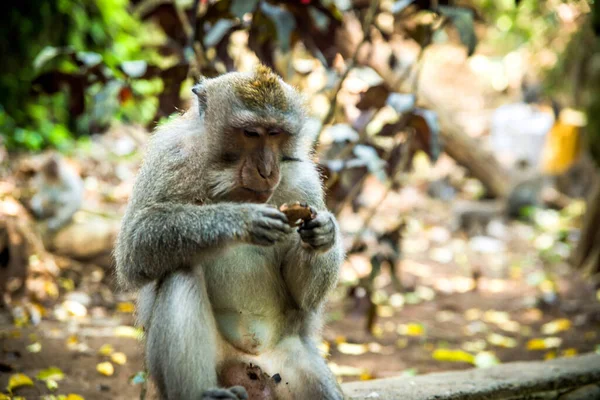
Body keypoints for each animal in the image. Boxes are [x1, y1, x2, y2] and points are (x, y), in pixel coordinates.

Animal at [114, 65, 344, 400]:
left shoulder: (305, 183)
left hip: (290, 361)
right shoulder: (171, 157)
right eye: (250, 133)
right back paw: (203, 394)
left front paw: (324, 234)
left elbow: (303, 297)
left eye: (275, 133)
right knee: (180, 273)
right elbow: (135, 246)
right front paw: (242, 219)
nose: (267, 171)